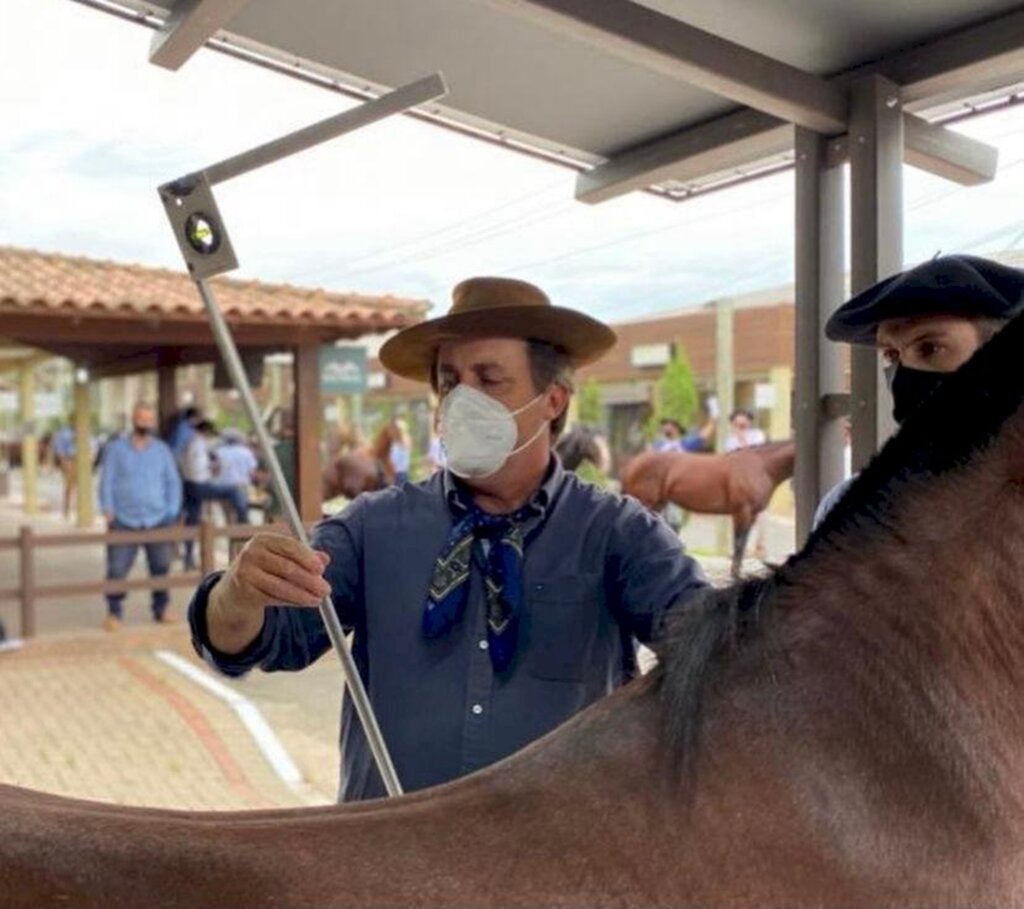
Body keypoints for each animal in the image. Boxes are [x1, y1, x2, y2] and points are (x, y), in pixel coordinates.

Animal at [618, 440, 794, 573]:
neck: (760, 466)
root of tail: (632, 464)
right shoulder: (742, 511)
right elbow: (738, 543)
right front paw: (735, 575)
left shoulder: (752, 515)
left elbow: (742, 544)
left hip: (657, 504)